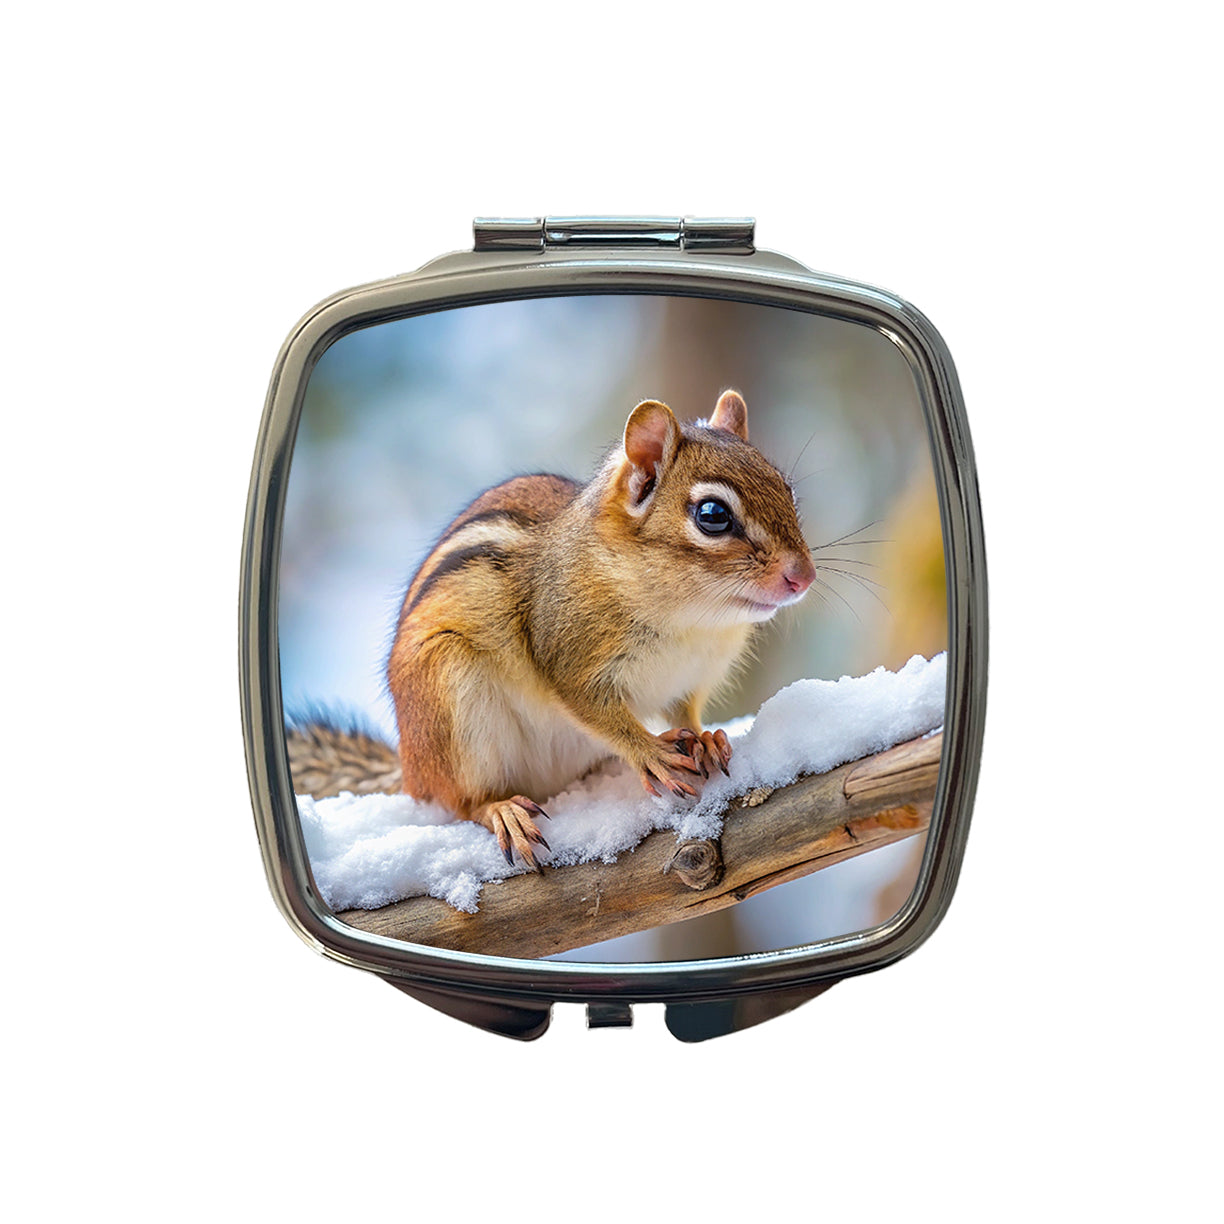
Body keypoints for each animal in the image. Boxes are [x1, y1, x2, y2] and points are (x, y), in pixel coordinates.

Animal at [289, 390, 816, 871]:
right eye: (712, 516)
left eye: (786, 490)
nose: (804, 576)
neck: (693, 619)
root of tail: (409, 768)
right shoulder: (567, 657)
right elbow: (597, 712)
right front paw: (648, 751)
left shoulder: (688, 679)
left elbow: (684, 711)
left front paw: (703, 738)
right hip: (449, 699)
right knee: (459, 801)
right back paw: (501, 810)